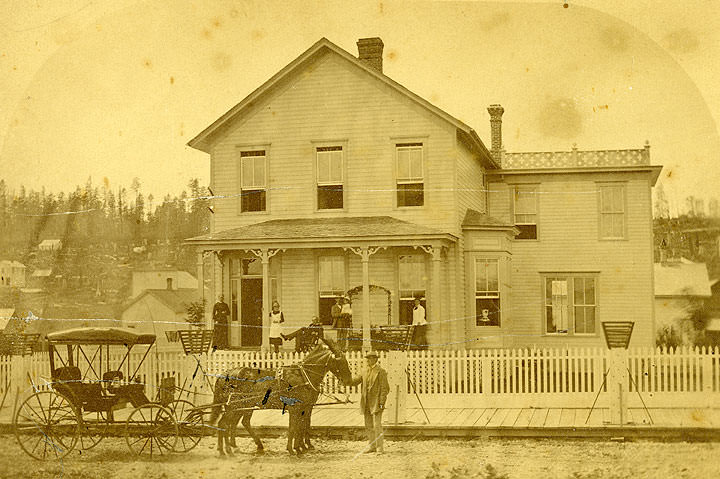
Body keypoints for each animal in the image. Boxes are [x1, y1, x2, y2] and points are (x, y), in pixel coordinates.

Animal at [205, 338, 352, 458]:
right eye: (339, 360)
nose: (349, 380)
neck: (303, 376)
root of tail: (225, 374)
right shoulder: (296, 408)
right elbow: (294, 427)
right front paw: (295, 449)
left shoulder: (305, 407)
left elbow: (304, 426)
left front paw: (302, 447)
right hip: (235, 406)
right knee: (224, 424)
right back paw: (225, 451)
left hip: (243, 405)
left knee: (237, 423)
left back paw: (242, 446)